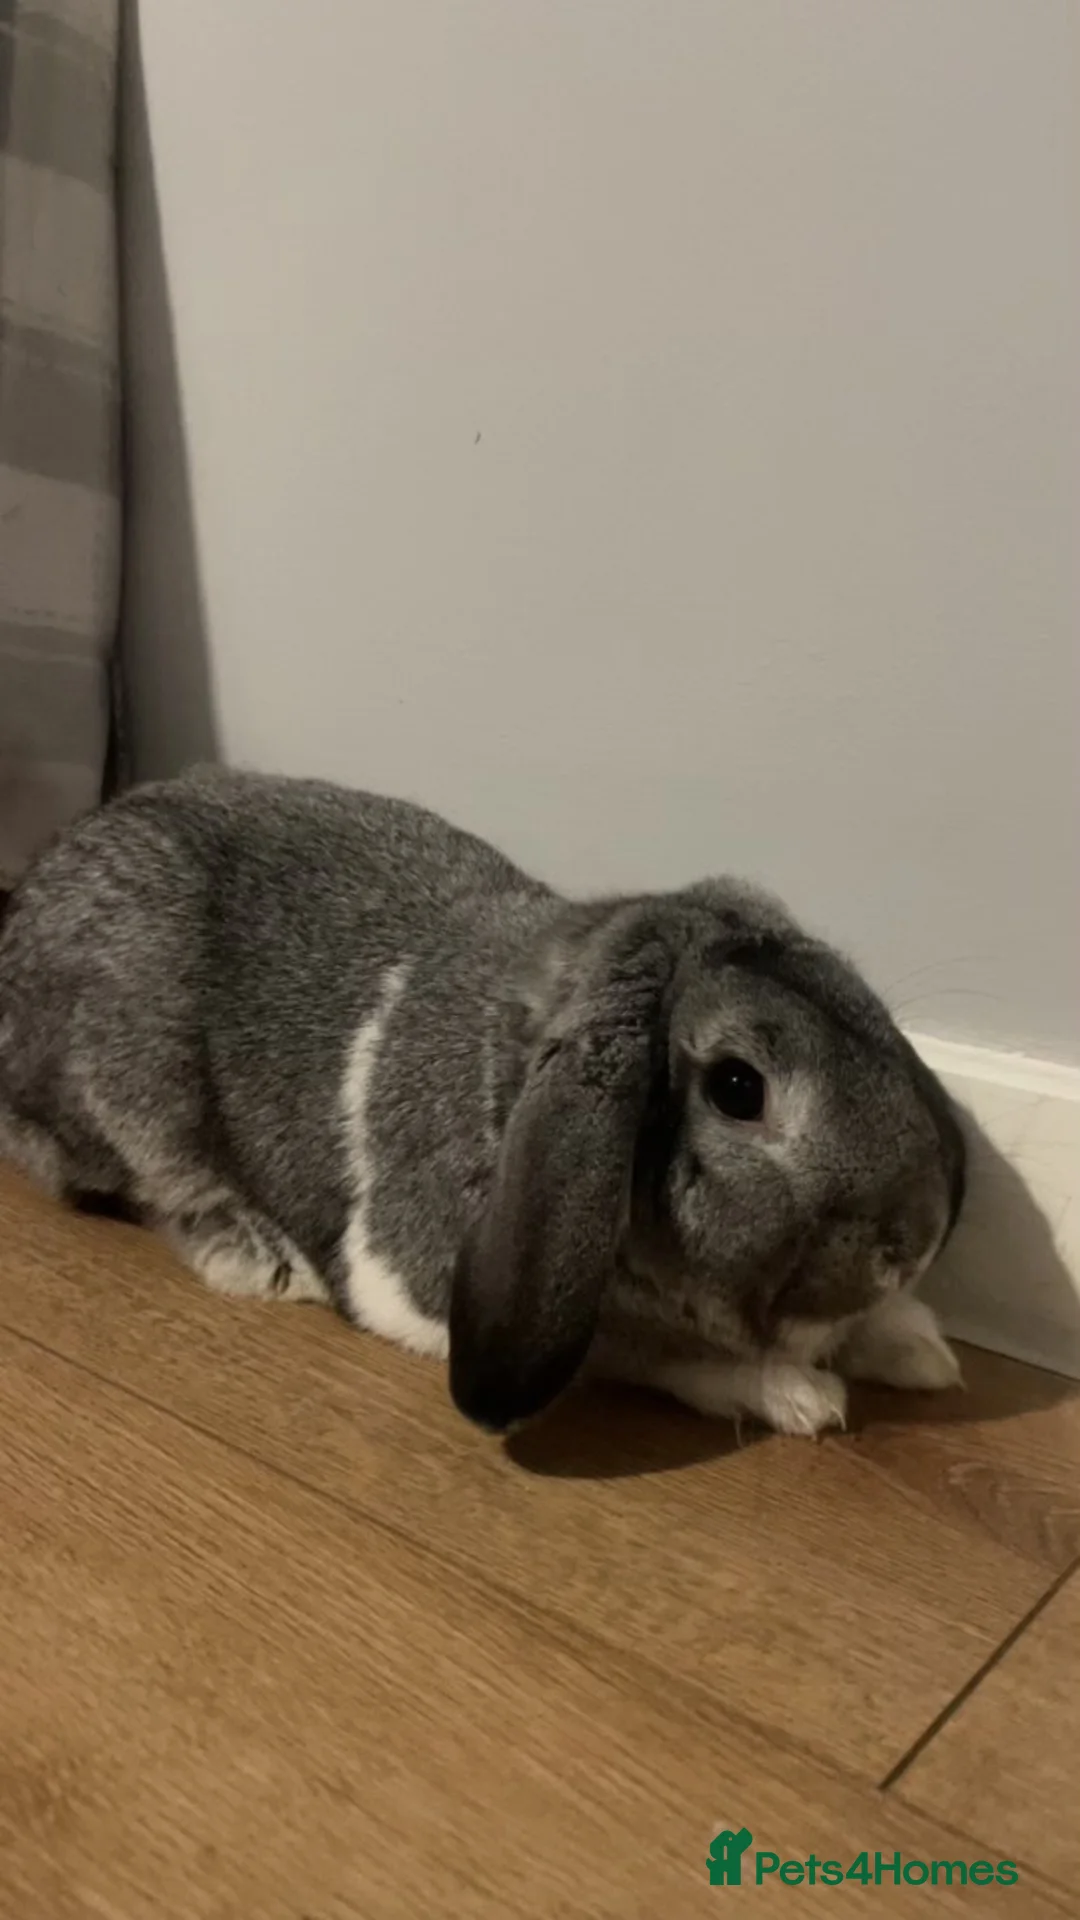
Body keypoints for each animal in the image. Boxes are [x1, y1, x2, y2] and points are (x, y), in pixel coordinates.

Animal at [0, 766, 966, 1436]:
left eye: (865, 1009)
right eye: (738, 1089)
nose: (912, 1244)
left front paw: (923, 1351)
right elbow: (644, 1351)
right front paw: (806, 1396)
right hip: (135, 1073)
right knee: (139, 1180)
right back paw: (257, 1255)